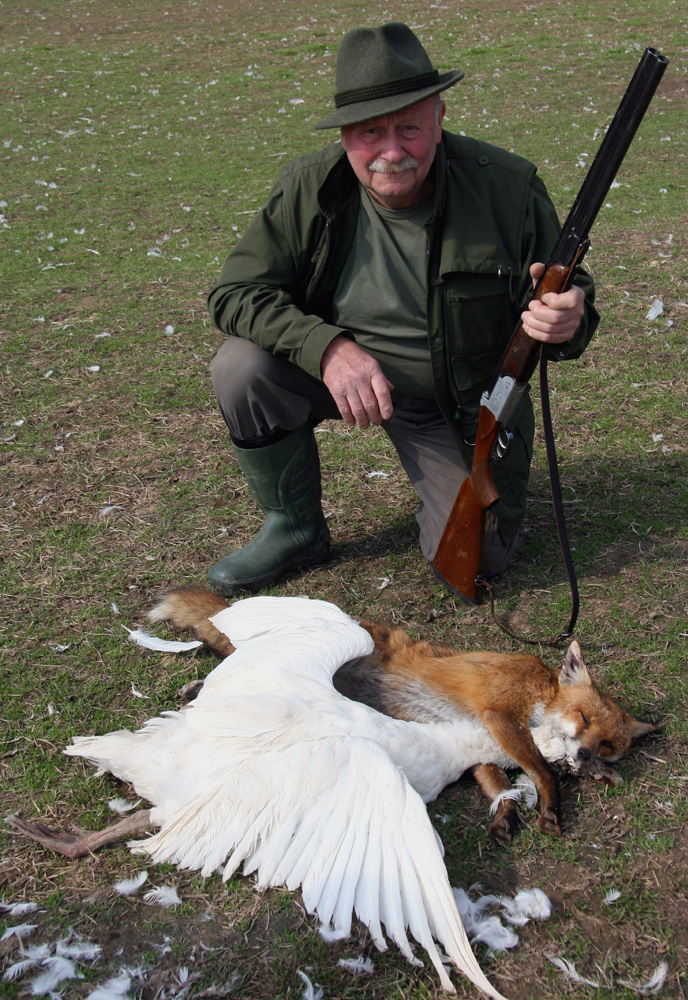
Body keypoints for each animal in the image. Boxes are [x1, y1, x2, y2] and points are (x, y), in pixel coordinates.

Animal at [152, 584, 660, 844]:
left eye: (608, 745)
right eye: (585, 720)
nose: (584, 757)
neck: (540, 694)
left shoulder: (481, 744)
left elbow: (500, 786)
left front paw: (505, 816)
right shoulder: (497, 710)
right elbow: (542, 772)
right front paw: (552, 804)